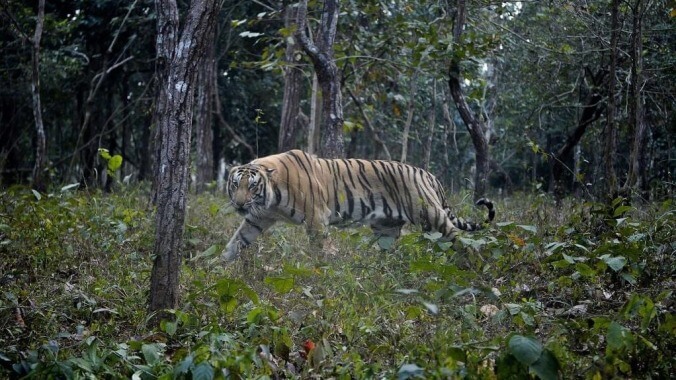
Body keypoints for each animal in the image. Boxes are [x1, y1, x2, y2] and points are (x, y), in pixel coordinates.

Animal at [224, 149, 494, 262]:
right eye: (235, 184)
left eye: (252, 186)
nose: (239, 204)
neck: (270, 197)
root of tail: (429, 175)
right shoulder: (257, 218)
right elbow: (236, 241)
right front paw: (219, 266)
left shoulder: (316, 217)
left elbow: (320, 247)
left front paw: (321, 267)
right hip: (387, 228)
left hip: (432, 216)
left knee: (461, 240)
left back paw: (475, 266)